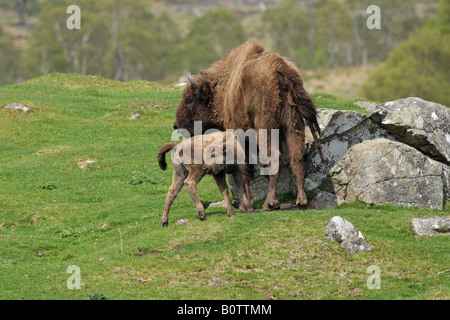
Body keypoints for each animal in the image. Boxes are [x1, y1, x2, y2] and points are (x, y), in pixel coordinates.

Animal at [173, 42, 324, 210]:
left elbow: (245, 169)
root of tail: (280, 70)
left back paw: (269, 203)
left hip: (266, 127)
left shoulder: (240, 137)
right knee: (296, 157)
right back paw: (300, 200)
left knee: (273, 158)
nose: (176, 125)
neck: (224, 88)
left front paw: (245, 204)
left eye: (189, 100)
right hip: (293, 124)